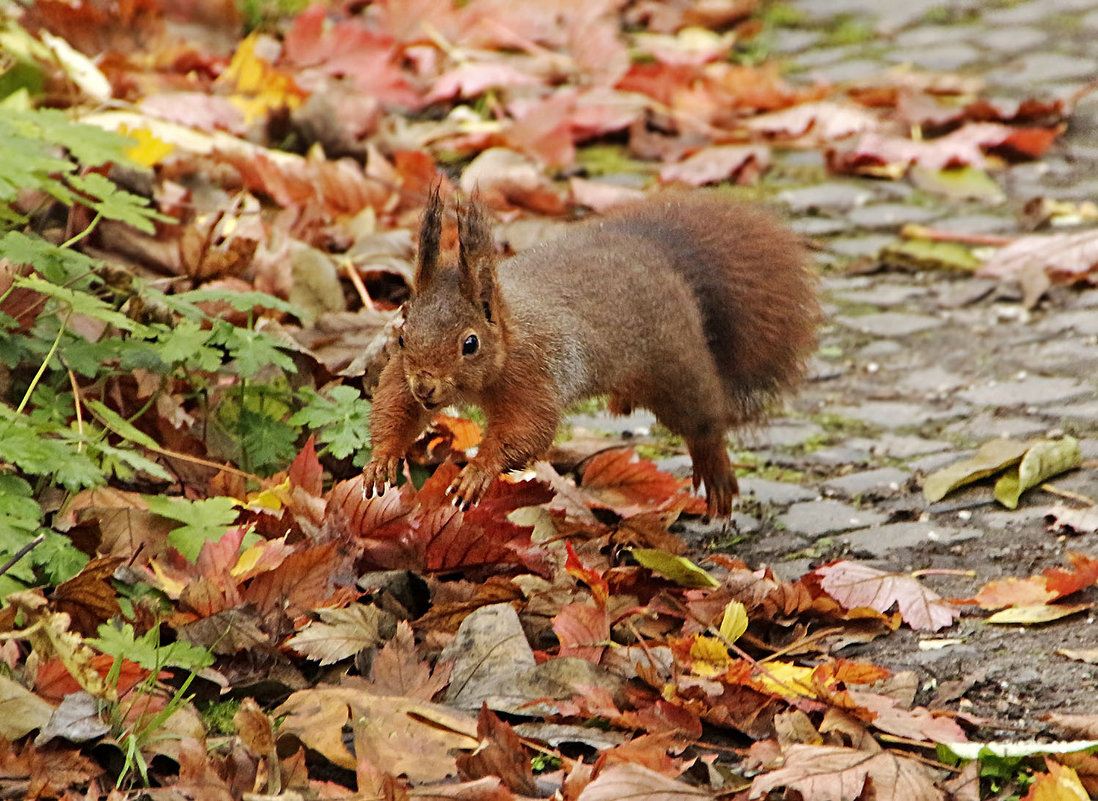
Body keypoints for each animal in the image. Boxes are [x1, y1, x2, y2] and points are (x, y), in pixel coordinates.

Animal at [364, 189, 821, 520]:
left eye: (470, 344)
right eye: (402, 335)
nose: (426, 385)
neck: (507, 339)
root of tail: (657, 255)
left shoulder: (533, 376)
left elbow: (527, 429)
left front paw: (477, 472)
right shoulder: (401, 375)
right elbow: (394, 405)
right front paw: (381, 460)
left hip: (676, 365)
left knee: (704, 421)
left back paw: (716, 474)